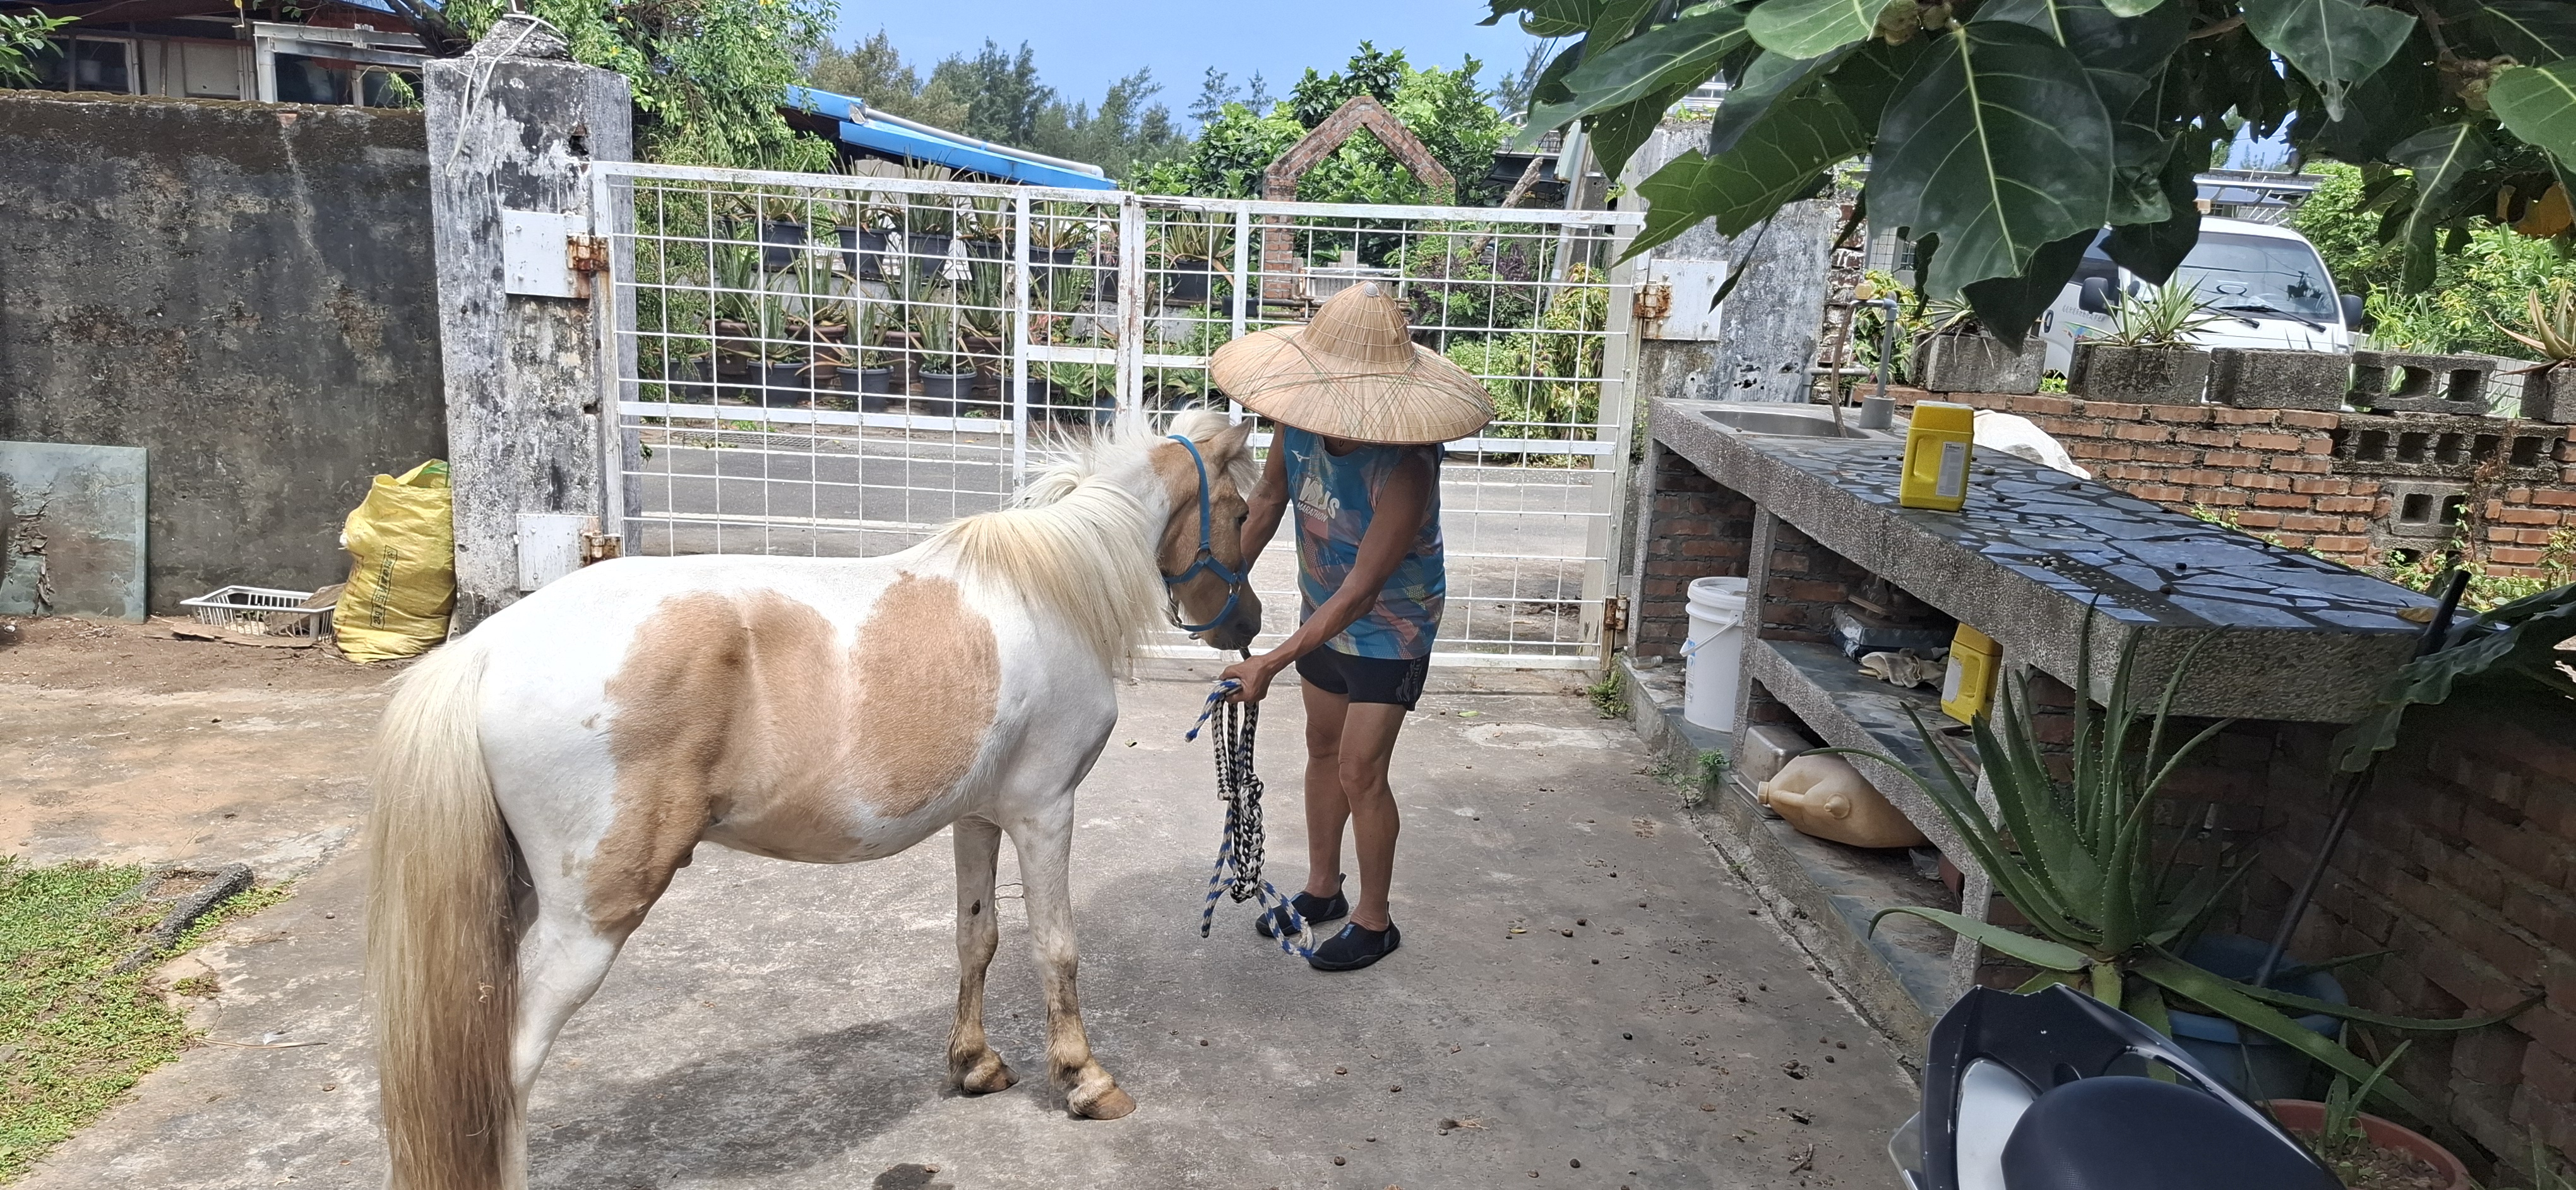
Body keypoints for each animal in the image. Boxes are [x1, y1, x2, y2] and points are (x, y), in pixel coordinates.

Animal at [363, 409, 1263, 1190]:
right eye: (1241, 508)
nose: (1247, 624)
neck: (1048, 587)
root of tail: (487, 650)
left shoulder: (980, 815)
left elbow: (978, 938)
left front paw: (974, 1065)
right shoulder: (1045, 811)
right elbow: (1057, 947)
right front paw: (1084, 1082)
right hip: (588, 919)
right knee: (511, 1066)